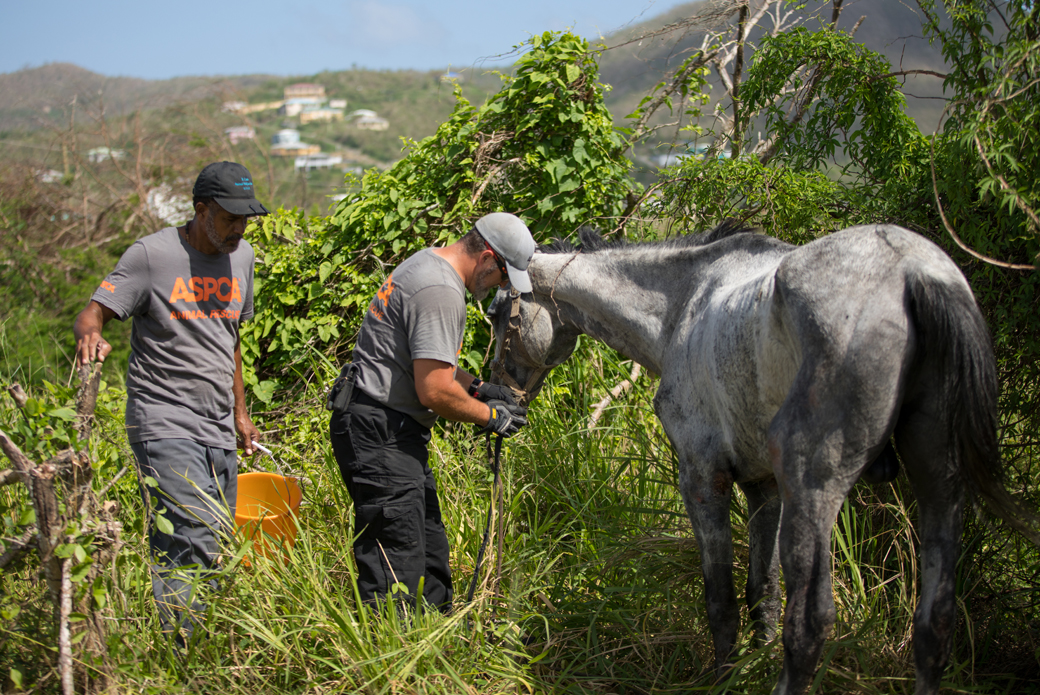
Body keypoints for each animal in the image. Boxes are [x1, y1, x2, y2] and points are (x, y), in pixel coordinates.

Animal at [488, 222, 1040, 695]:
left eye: (497, 313)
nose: (500, 392)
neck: (683, 304)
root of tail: (913, 271)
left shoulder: (703, 478)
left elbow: (722, 600)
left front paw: (727, 678)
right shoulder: (764, 488)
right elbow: (763, 593)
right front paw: (753, 664)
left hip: (813, 489)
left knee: (811, 623)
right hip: (939, 485)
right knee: (935, 622)